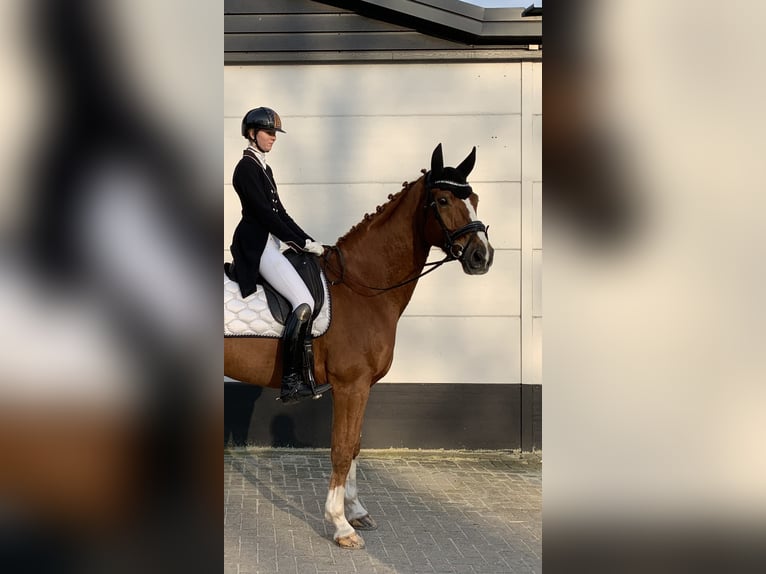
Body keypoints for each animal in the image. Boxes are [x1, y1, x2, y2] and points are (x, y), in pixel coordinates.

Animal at [224, 143, 494, 549]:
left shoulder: (362, 386)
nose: (482, 257)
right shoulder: (350, 386)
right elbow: (339, 449)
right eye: (444, 200)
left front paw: (356, 512)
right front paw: (340, 525)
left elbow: (353, 447)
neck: (361, 286)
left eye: (474, 198)